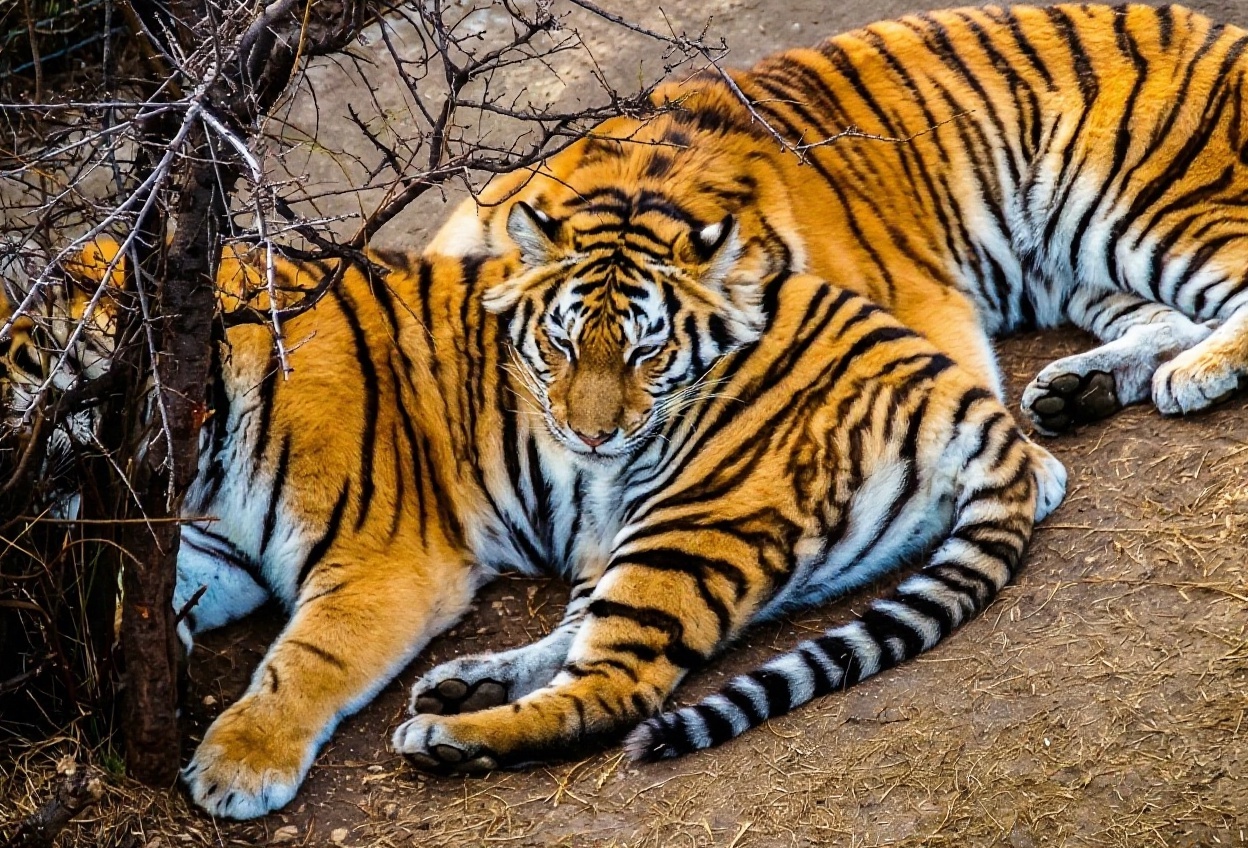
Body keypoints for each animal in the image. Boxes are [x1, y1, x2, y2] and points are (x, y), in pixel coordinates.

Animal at [2, 229, 1065, 815]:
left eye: (11, 361)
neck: (198, 443)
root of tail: (939, 377)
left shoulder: (384, 560)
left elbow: (306, 658)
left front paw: (237, 760)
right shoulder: (214, 552)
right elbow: (142, 601)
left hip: (689, 515)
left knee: (617, 688)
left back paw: (450, 737)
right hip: (632, 533)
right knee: (577, 641)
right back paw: (463, 686)